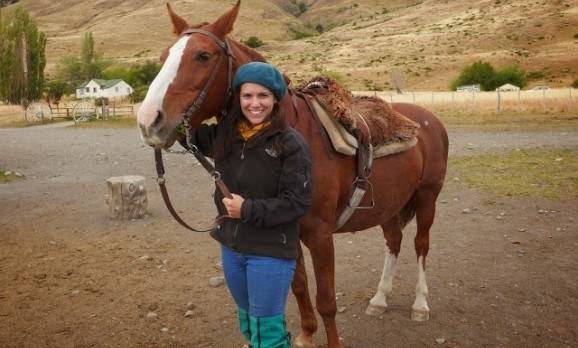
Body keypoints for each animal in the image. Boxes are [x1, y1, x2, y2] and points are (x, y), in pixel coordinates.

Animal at [137, 1, 448, 346]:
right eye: (164, 56)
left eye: (203, 56)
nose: (149, 121)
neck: (296, 132)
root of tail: (427, 119)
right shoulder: (288, 231)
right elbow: (298, 286)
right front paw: (307, 334)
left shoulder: (320, 235)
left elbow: (326, 300)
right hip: (390, 206)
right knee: (393, 241)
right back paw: (379, 300)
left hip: (427, 198)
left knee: (421, 245)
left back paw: (420, 305)